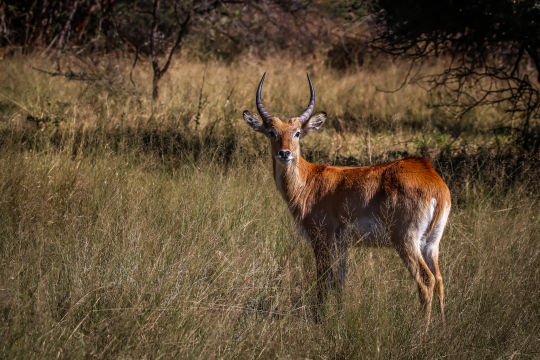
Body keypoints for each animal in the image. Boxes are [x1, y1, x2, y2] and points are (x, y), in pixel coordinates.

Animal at [243, 72, 450, 326]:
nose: (284, 153)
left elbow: (323, 281)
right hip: (431, 243)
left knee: (426, 280)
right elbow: (340, 283)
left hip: (406, 240)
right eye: (272, 132)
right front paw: (338, 319)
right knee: (439, 280)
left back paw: (422, 330)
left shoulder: (320, 239)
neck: (309, 183)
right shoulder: (342, 245)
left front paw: (319, 320)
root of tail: (432, 178)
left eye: (297, 133)